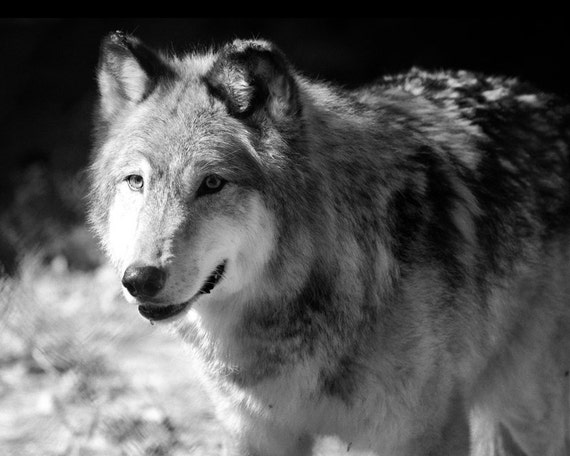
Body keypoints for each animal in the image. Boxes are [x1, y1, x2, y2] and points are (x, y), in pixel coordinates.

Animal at [87, 32, 568, 456]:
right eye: (136, 181)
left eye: (212, 183)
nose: (139, 279)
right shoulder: (255, 434)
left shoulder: (427, 433)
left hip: (531, 411)